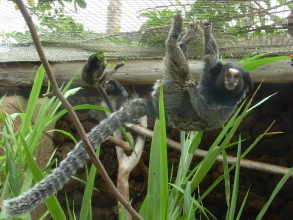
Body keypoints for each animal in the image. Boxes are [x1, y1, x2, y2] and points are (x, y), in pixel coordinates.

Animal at [1, 12, 251, 217]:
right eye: (229, 75)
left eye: (236, 78)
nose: (231, 81)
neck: (221, 90)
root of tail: (156, 108)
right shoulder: (211, 75)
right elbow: (210, 59)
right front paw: (207, 33)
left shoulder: (224, 107)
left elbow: (205, 112)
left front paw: (193, 90)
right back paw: (184, 39)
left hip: (172, 98)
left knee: (179, 72)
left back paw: (175, 38)